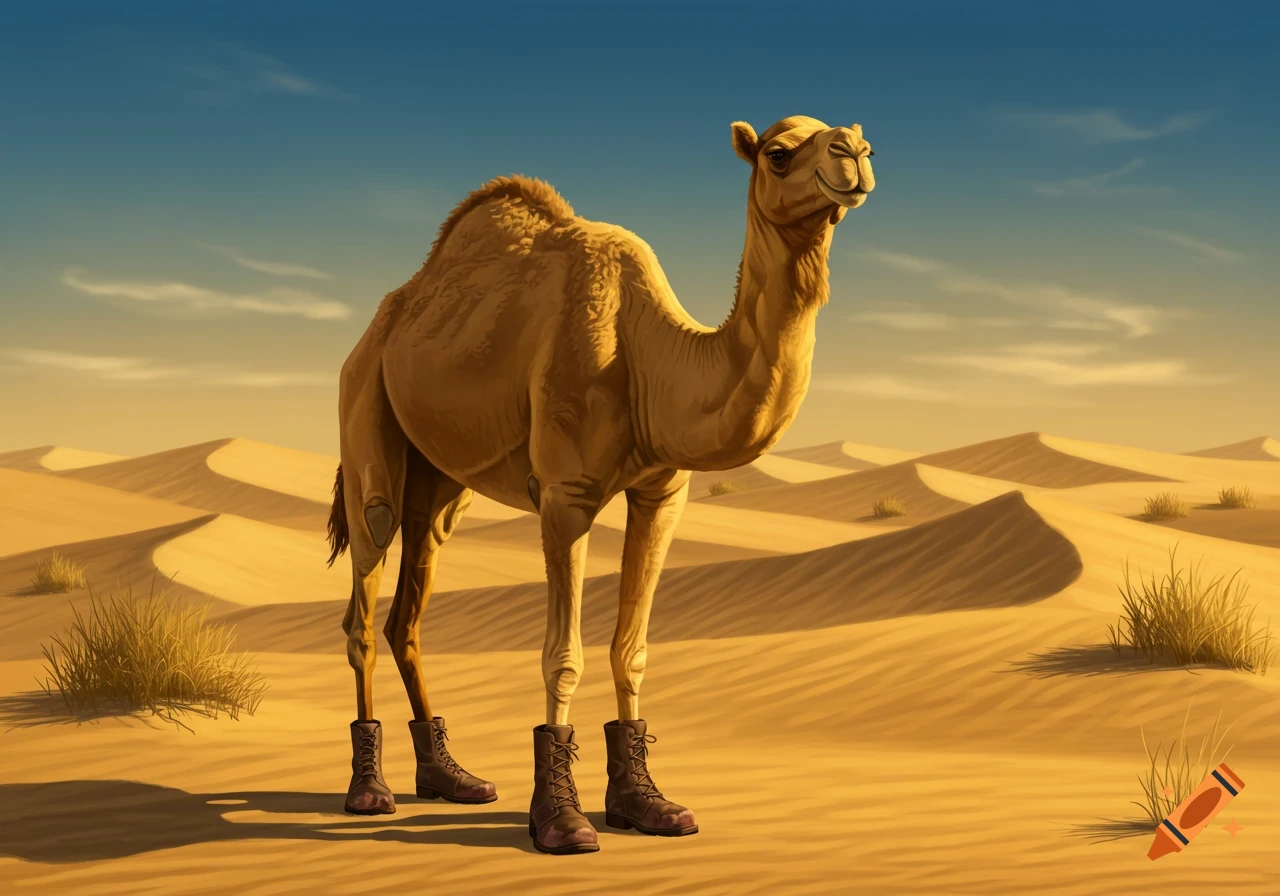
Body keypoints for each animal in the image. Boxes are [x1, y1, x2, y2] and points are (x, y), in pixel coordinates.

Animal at [326, 115, 875, 854]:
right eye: (779, 153)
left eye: (854, 137)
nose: (855, 154)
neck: (649, 359)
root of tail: (387, 315)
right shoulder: (566, 493)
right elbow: (563, 656)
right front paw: (560, 818)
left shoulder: (662, 493)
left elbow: (631, 651)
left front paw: (646, 803)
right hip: (365, 413)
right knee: (367, 579)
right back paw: (368, 790)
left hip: (440, 481)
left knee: (408, 606)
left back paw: (450, 777)